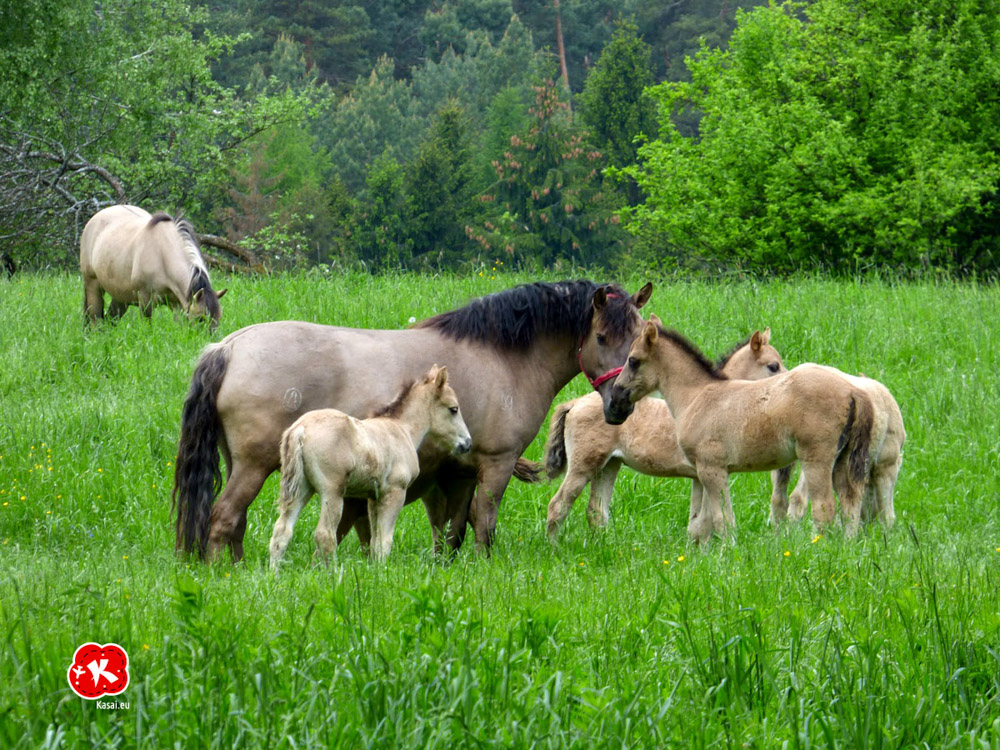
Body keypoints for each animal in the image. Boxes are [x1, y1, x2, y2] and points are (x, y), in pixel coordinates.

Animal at [78, 204, 227, 330]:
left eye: (218, 318)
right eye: (200, 318)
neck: (162, 255)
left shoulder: (177, 304)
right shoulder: (145, 300)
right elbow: (147, 327)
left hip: (120, 296)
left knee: (110, 320)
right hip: (93, 285)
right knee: (95, 319)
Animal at [270, 366, 472, 568]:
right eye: (454, 409)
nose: (467, 444)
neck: (402, 429)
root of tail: (300, 429)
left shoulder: (374, 497)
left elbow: (375, 539)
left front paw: (373, 568)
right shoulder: (395, 491)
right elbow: (384, 540)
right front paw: (383, 570)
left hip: (302, 488)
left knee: (282, 530)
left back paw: (275, 572)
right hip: (332, 491)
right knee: (325, 534)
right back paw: (333, 572)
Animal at [544, 328, 784, 540]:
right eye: (773, 366)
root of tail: (573, 404)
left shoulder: (698, 476)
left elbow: (697, 524)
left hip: (609, 465)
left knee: (596, 511)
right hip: (583, 465)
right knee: (558, 506)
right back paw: (554, 547)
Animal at [600, 320, 876, 544]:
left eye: (633, 360)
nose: (614, 404)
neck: (696, 395)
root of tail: (854, 390)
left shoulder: (711, 469)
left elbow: (722, 520)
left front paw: (728, 556)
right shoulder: (702, 472)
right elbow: (701, 524)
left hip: (816, 460)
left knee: (825, 508)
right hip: (842, 460)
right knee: (851, 503)